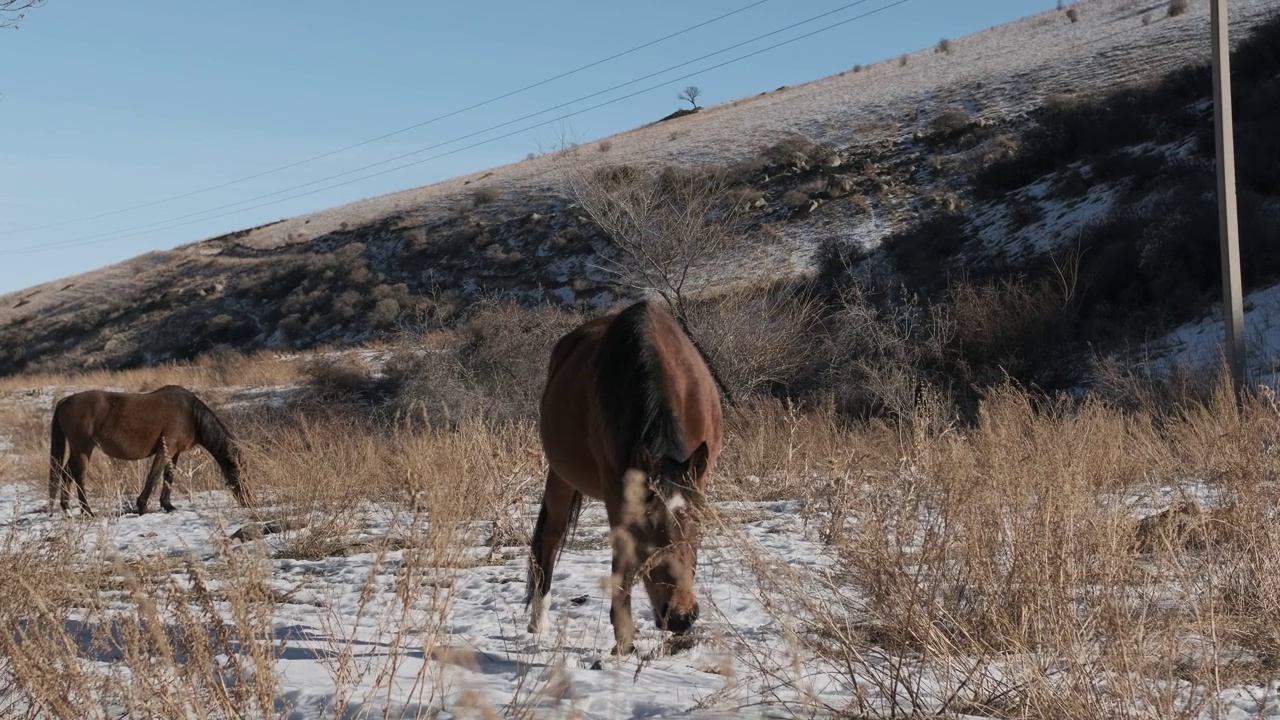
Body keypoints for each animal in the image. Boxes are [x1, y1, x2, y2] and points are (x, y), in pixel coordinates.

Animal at [49, 384, 252, 512]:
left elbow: (168, 475)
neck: (190, 414)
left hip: (79, 449)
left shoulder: (174, 452)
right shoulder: (165, 448)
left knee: (66, 473)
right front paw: (142, 505)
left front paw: (167, 505)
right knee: (78, 475)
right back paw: (87, 511)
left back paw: (66, 508)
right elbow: (154, 476)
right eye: (238, 472)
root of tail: (66, 400)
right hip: (83, 447)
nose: (249, 501)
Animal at [527, 299, 721, 653]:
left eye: (695, 522)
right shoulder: (617, 491)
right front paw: (624, 637)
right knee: (551, 537)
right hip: (560, 476)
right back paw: (539, 620)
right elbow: (623, 554)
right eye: (645, 526)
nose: (680, 617)